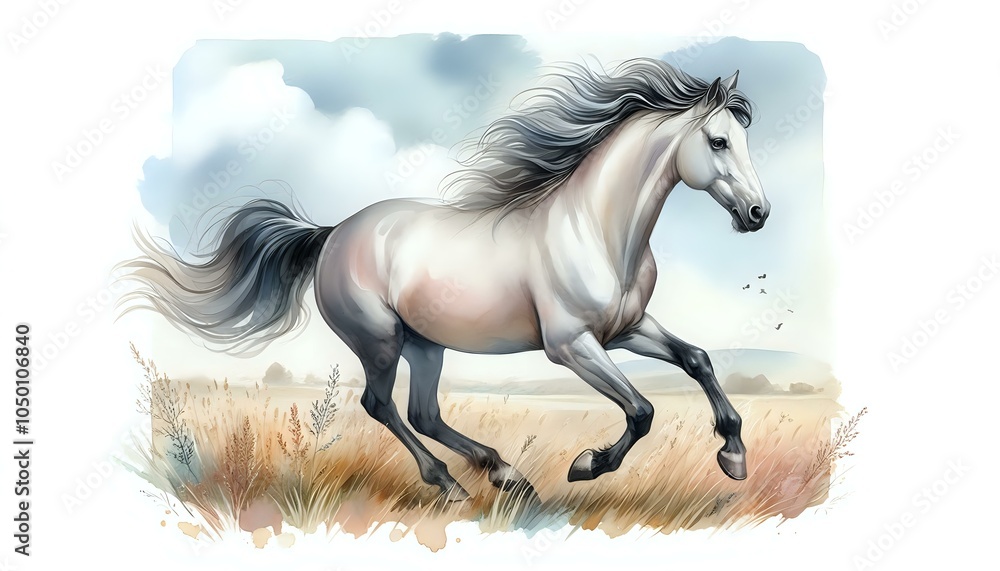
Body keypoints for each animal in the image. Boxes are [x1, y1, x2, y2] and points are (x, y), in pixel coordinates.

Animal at [117, 58, 769, 501]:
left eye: (745, 139)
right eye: (718, 141)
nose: (758, 213)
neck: (597, 230)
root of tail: (332, 234)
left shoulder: (627, 329)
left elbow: (697, 359)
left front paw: (734, 454)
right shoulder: (571, 346)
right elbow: (641, 410)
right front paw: (586, 465)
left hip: (426, 345)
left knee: (424, 411)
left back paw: (505, 475)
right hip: (380, 340)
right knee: (382, 404)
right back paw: (451, 483)